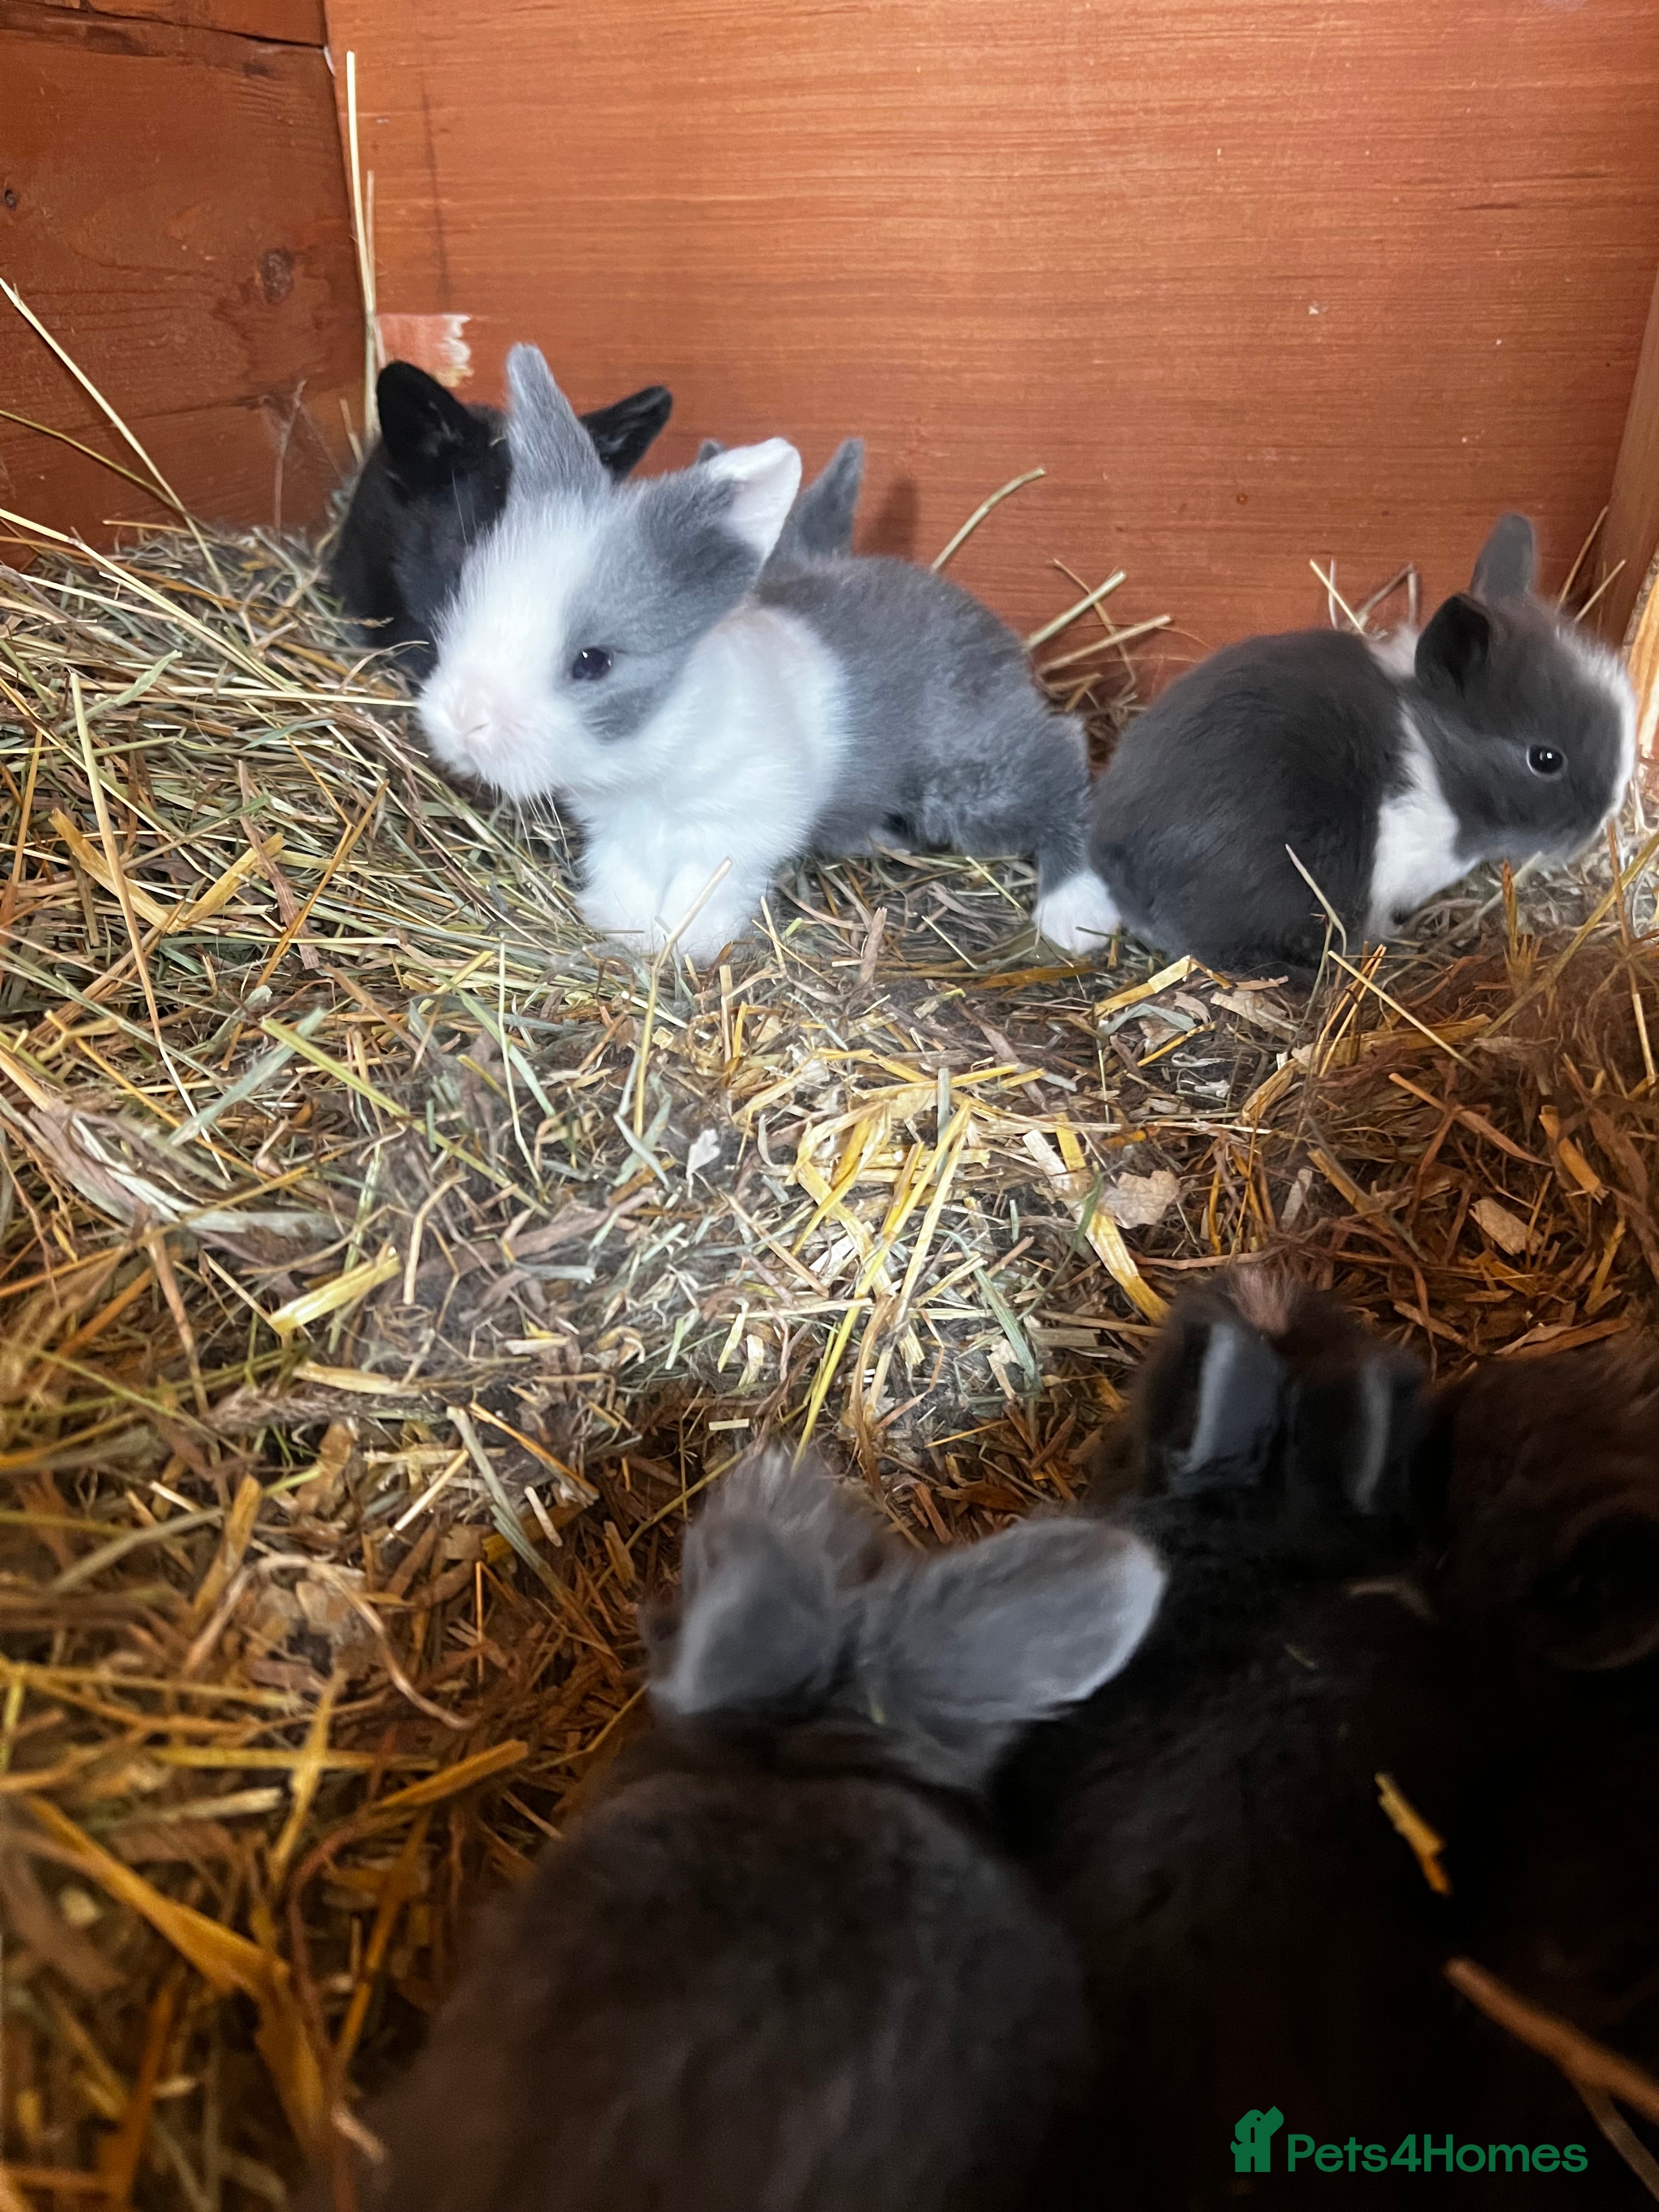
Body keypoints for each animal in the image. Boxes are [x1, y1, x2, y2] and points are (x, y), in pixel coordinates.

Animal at [417, 347, 1110, 962]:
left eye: (593, 662)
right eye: (465, 601)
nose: (463, 722)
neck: (654, 749)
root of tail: (990, 627)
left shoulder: (736, 832)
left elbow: (703, 892)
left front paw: (688, 945)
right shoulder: (618, 833)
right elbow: (626, 880)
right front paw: (625, 930)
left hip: (973, 782)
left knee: (1063, 759)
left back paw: (1077, 916)